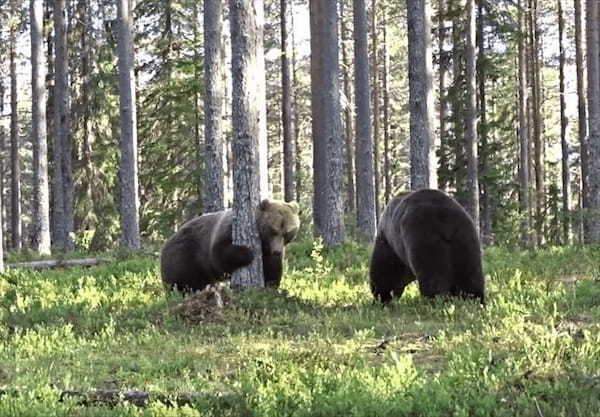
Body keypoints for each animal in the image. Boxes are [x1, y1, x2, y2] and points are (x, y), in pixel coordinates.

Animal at [161, 199, 300, 292]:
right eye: (273, 229)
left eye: (287, 232)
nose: (277, 251)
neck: (263, 241)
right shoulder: (226, 230)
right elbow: (219, 255)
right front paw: (248, 253)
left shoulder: (270, 251)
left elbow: (273, 268)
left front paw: (271, 286)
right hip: (183, 258)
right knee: (181, 282)